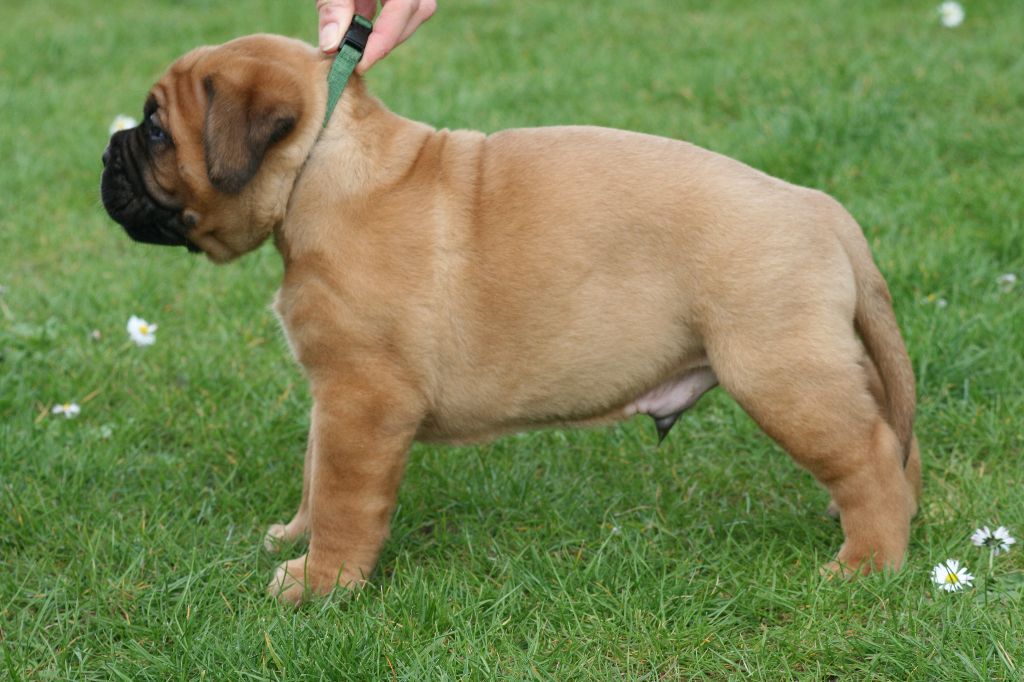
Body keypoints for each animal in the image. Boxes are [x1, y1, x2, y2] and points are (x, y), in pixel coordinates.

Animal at [101, 34, 921, 604]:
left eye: (155, 130)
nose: (107, 154)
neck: (322, 172)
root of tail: (823, 209)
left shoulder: (363, 401)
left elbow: (342, 497)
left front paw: (322, 582)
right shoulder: (332, 397)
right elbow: (314, 474)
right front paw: (293, 538)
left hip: (782, 374)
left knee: (872, 460)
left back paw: (866, 566)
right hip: (821, 371)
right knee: (887, 444)